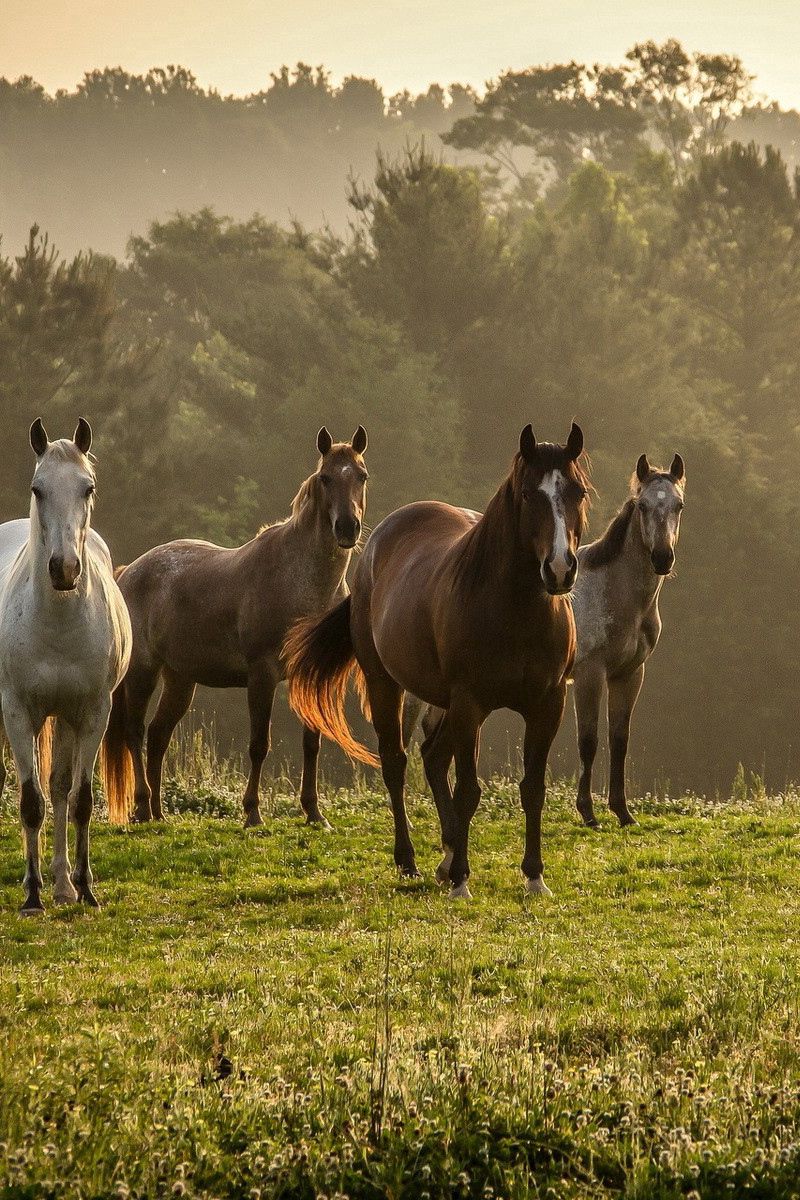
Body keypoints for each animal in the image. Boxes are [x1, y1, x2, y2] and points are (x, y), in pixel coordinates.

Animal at [0, 417, 131, 912]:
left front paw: (85, 888)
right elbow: (30, 803)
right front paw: (31, 895)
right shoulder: (18, 712)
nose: (64, 569)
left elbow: (78, 801)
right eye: (38, 489)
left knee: (59, 787)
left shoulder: (92, 713)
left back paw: (62, 884)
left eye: (87, 487)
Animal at [100, 427, 371, 830]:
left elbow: (312, 743)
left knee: (159, 735)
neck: (301, 582)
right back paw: (143, 807)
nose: (347, 527)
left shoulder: (306, 674)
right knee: (135, 733)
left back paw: (159, 813)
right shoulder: (261, 675)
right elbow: (259, 745)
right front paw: (253, 813)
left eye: (361, 476)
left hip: (180, 680)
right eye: (325, 478)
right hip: (142, 673)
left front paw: (314, 813)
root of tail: (128, 572)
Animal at [284, 427, 592, 897]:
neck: (515, 611)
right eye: (528, 494)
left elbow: (532, 789)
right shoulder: (470, 704)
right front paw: (463, 879)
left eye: (577, 491)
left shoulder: (547, 706)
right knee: (397, 763)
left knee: (432, 757)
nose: (559, 569)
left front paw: (534, 876)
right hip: (387, 684)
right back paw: (410, 859)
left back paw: (445, 857)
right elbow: (468, 790)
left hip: (444, 702)